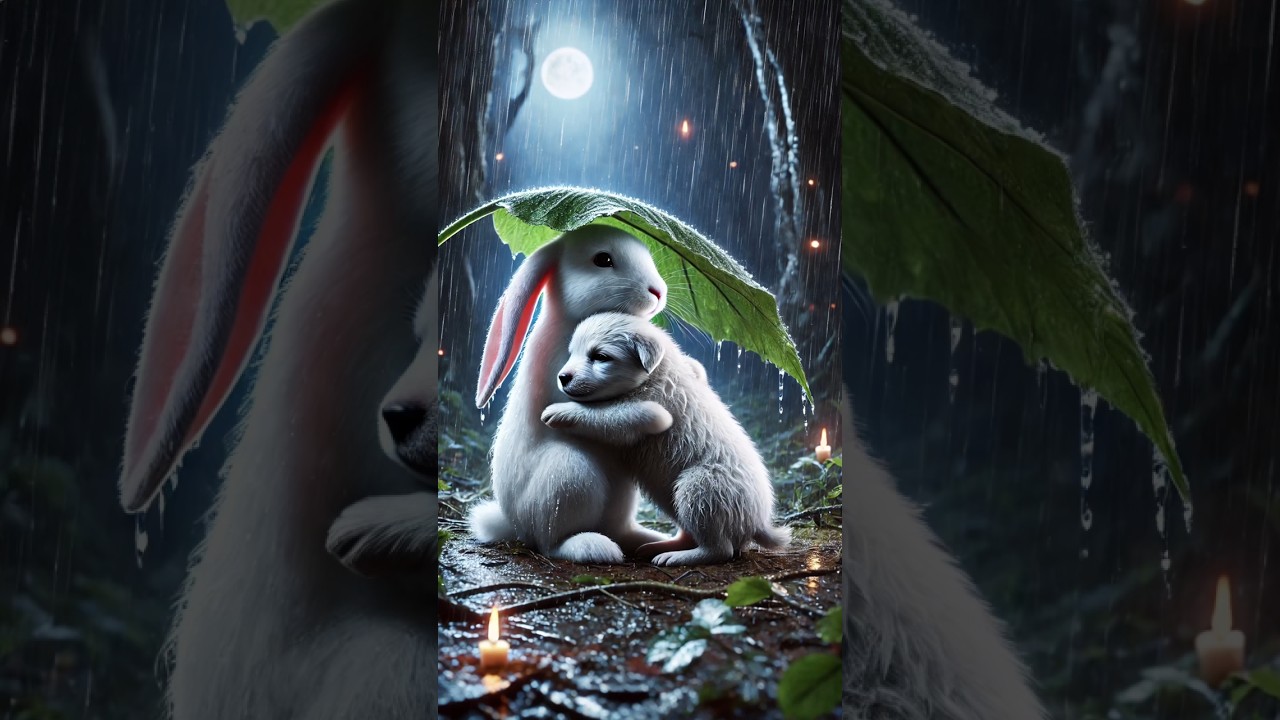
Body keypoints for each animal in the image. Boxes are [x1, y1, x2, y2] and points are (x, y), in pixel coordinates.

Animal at [467, 224, 673, 564]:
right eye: (603, 259)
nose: (658, 291)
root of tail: (514, 524)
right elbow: (603, 412)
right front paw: (656, 417)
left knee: (621, 530)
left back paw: (652, 541)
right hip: (570, 474)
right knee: (550, 542)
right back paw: (592, 546)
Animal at [541, 312, 791, 566]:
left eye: (600, 357)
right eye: (573, 352)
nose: (563, 377)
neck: (655, 375)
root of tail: (758, 522)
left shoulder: (651, 410)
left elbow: (607, 415)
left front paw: (560, 412)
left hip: (701, 487)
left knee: (720, 549)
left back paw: (677, 557)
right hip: (674, 497)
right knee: (692, 534)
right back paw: (660, 547)